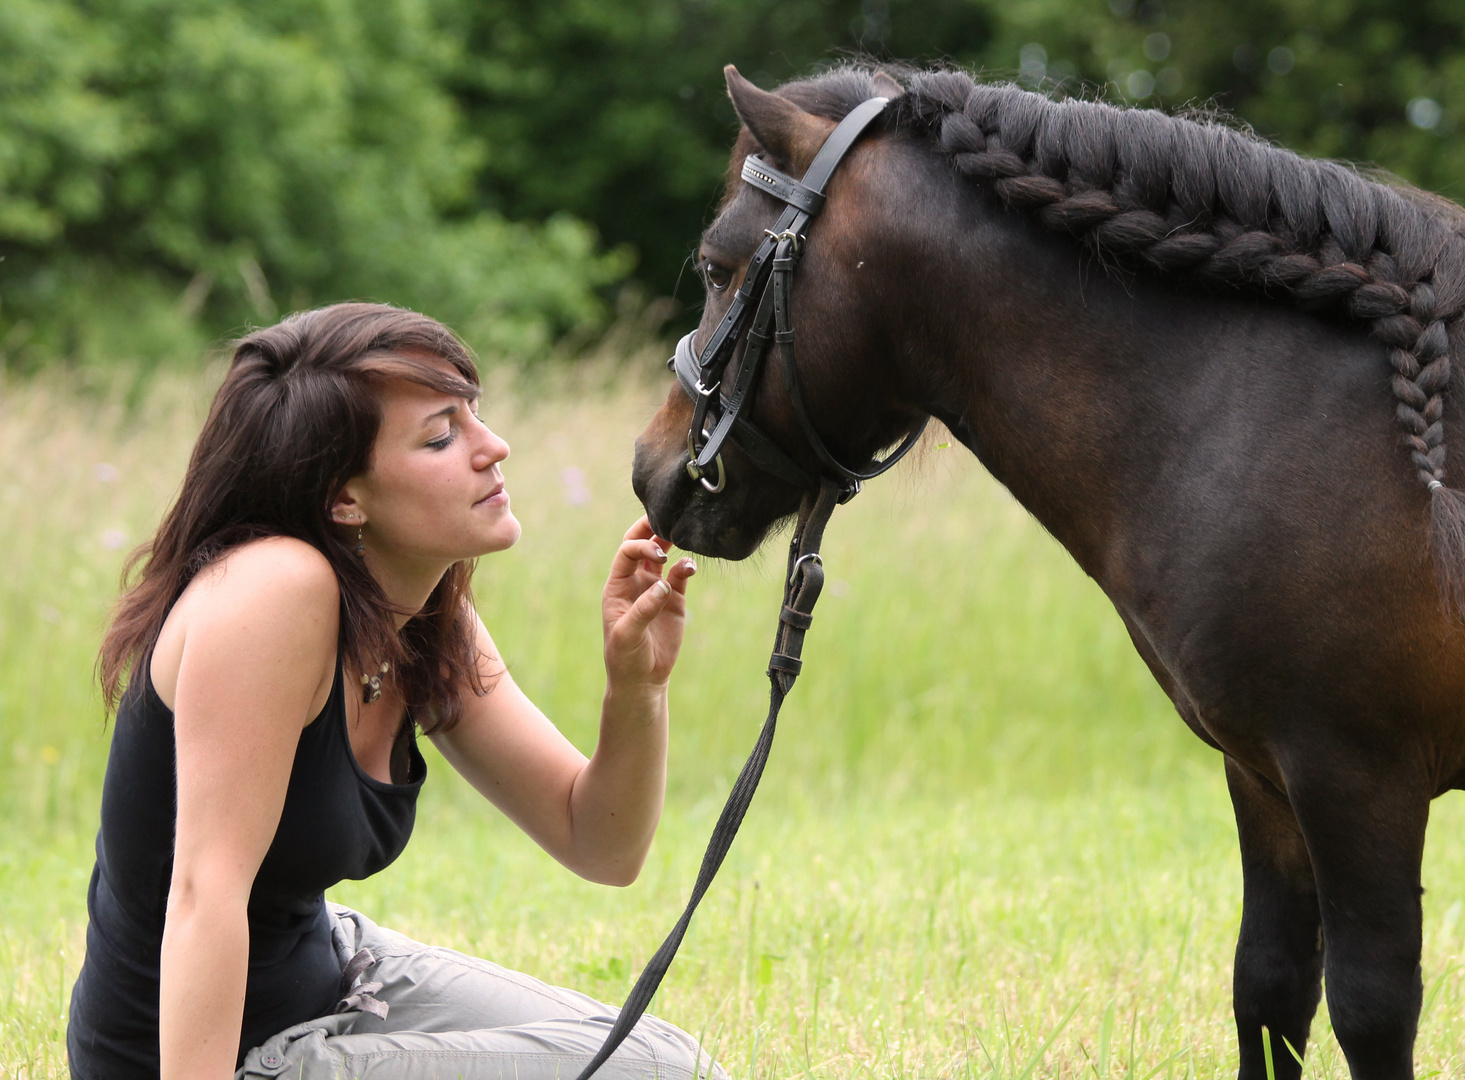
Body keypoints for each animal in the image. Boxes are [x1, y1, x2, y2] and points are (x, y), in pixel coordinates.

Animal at [635, 65, 1465, 1078]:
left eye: (719, 267)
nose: (653, 470)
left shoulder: (1358, 780)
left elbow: (1369, 1009)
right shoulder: (1267, 778)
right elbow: (1268, 994)